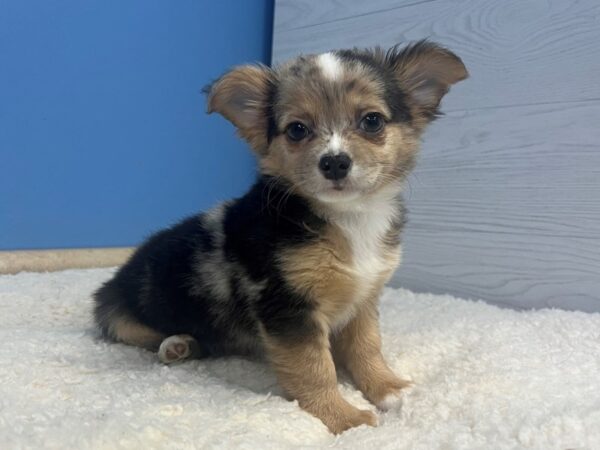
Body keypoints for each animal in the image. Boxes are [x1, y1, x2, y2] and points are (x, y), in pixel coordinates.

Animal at [95, 40, 468, 434]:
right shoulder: (288, 306)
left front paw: (387, 388)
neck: (349, 219)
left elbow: (367, 347)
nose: (334, 162)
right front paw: (344, 418)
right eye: (297, 130)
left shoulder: (364, 299)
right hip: (116, 315)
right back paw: (175, 343)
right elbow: (315, 368)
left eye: (372, 121)